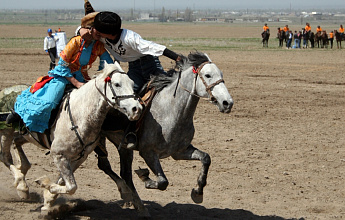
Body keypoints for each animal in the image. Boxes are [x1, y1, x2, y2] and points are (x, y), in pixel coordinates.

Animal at [0, 62, 142, 213]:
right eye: (117, 84)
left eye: (132, 83)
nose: (136, 109)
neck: (79, 115)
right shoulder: (59, 155)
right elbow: (71, 186)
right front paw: (45, 186)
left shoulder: (79, 157)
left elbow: (64, 182)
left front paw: (48, 198)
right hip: (6, 132)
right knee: (5, 156)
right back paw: (22, 185)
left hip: (25, 135)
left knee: (16, 143)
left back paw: (23, 172)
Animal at [99, 51, 234, 217]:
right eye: (208, 75)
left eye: (221, 74)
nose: (227, 103)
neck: (170, 110)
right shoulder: (148, 152)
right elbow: (163, 182)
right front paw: (146, 178)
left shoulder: (179, 151)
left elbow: (206, 158)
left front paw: (197, 192)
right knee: (107, 166)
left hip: (124, 148)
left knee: (124, 174)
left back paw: (138, 205)